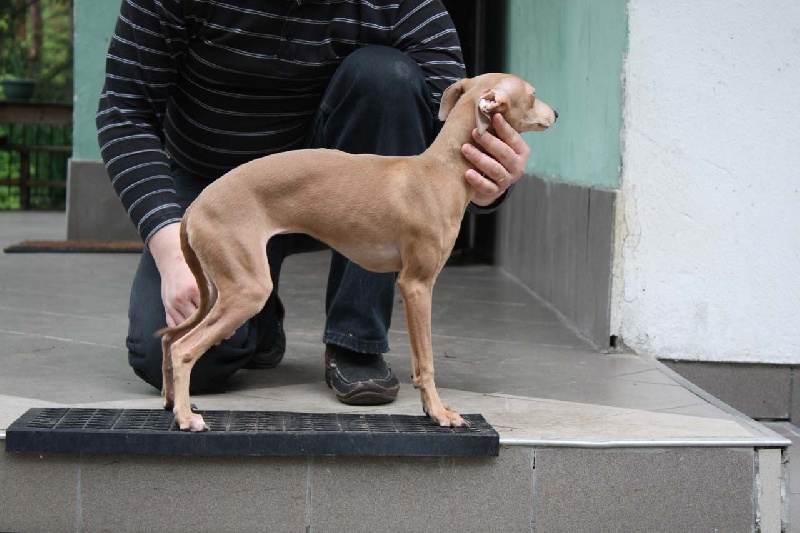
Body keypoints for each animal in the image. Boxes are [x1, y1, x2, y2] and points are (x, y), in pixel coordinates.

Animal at [156, 72, 556, 430]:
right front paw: (440, 413)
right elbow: (426, 362)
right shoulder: (417, 285)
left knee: (171, 338)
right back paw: (186, 418)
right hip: (247, 290)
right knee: (183, 348)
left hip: (218, 290)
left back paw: (173, 403)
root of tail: (196, 206)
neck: (439, 171)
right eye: (533, 94)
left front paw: (432, 410)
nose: (555, 114)